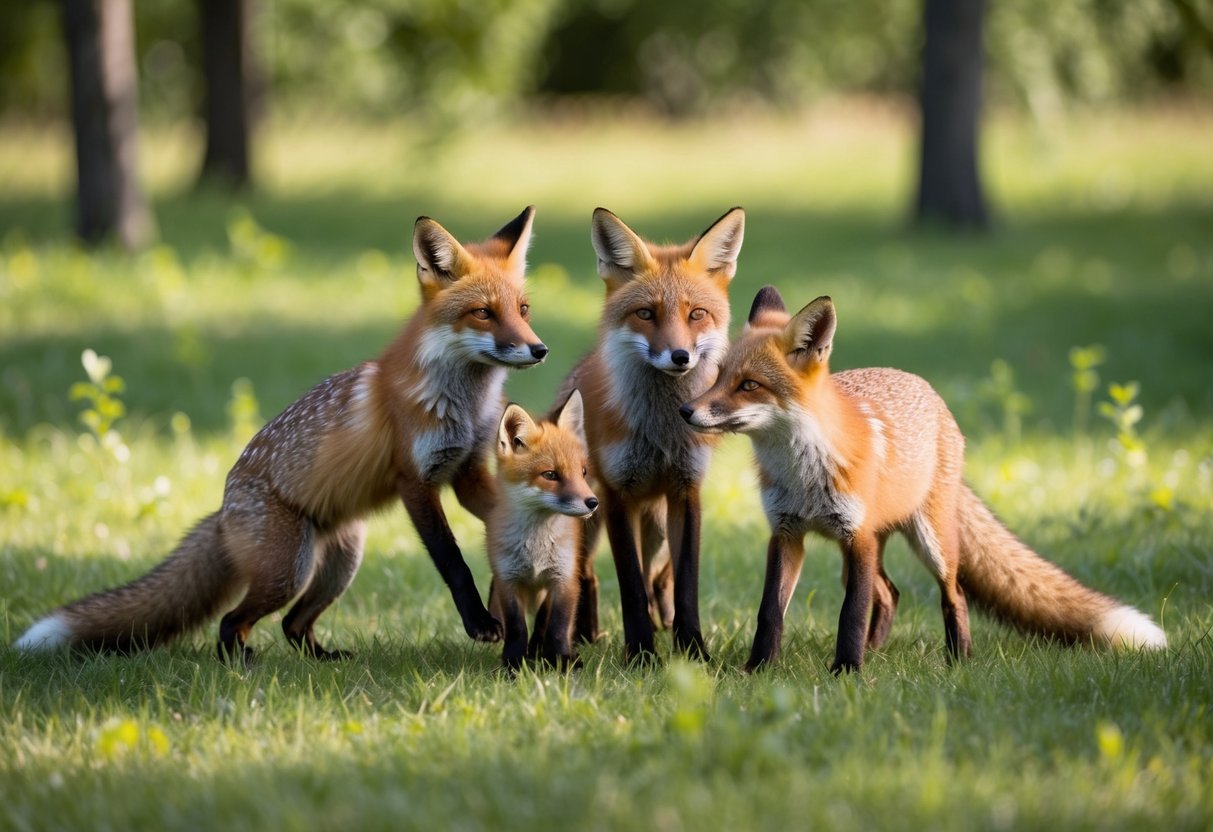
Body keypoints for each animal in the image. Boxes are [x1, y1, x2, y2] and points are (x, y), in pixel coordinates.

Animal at [15, 207, 549, 662]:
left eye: (523, 310)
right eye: (483, 313)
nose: (539, 350)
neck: (464, 405)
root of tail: (223, 510)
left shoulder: (467, 472)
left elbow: (497, 517)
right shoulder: (415, 480)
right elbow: (452, 559)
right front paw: (480, 621)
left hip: (339, 562)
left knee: (292, 624)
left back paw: (322, 659)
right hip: (289, 570)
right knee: (233, 620)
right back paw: (240, 663)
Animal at [487, 390, 598, 670]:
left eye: (583, 472)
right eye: (550, 475)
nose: (593, 502)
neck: (535, 548)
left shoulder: (564, 579)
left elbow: (557, 627)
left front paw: (562, 660)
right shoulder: (508, 580)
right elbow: (517, 628)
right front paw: (513, 664)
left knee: (542, 622)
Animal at [555, 207, 744, 662]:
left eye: (697, 314)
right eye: (645, 314)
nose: (680, 356)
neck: (660, 433)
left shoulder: (686, 490)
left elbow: (686, 584)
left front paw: (692, 650)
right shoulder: (617, 494)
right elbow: (630, 585)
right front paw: (641, 652)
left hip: (656, 523)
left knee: (659, 577)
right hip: (588, 516)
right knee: (587, 575)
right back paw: (585, 636)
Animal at [680, 285, 1167, 673]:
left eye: (749, 385)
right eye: (718, 377)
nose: (686, 411)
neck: (803, 474)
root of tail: (929, 391)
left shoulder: (857, 537)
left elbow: (850, 615)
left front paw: (846, 673)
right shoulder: (786, 533)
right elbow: (770, 612)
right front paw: (758, 670)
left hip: (929, 542)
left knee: (953, 594)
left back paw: (958, 660)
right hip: (860, 550)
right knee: (890, 593)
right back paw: (877, 651)